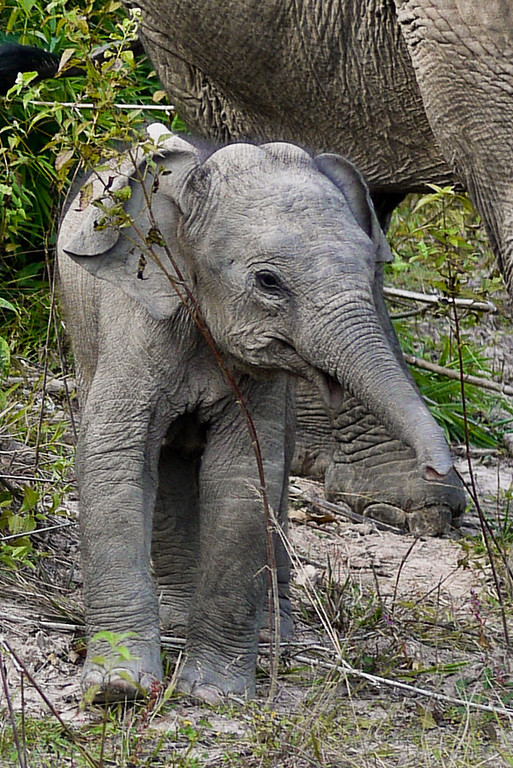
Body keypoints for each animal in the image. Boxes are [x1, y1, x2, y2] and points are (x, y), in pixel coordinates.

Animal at [57, 124, 455, 702]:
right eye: (268, 281)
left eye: (371, 268)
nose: (436, 468)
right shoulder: (135, 319)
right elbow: (115, 460)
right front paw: (119, 691)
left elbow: (244, 479)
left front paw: (212, 695)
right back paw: (177, 622)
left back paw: (272, 634)